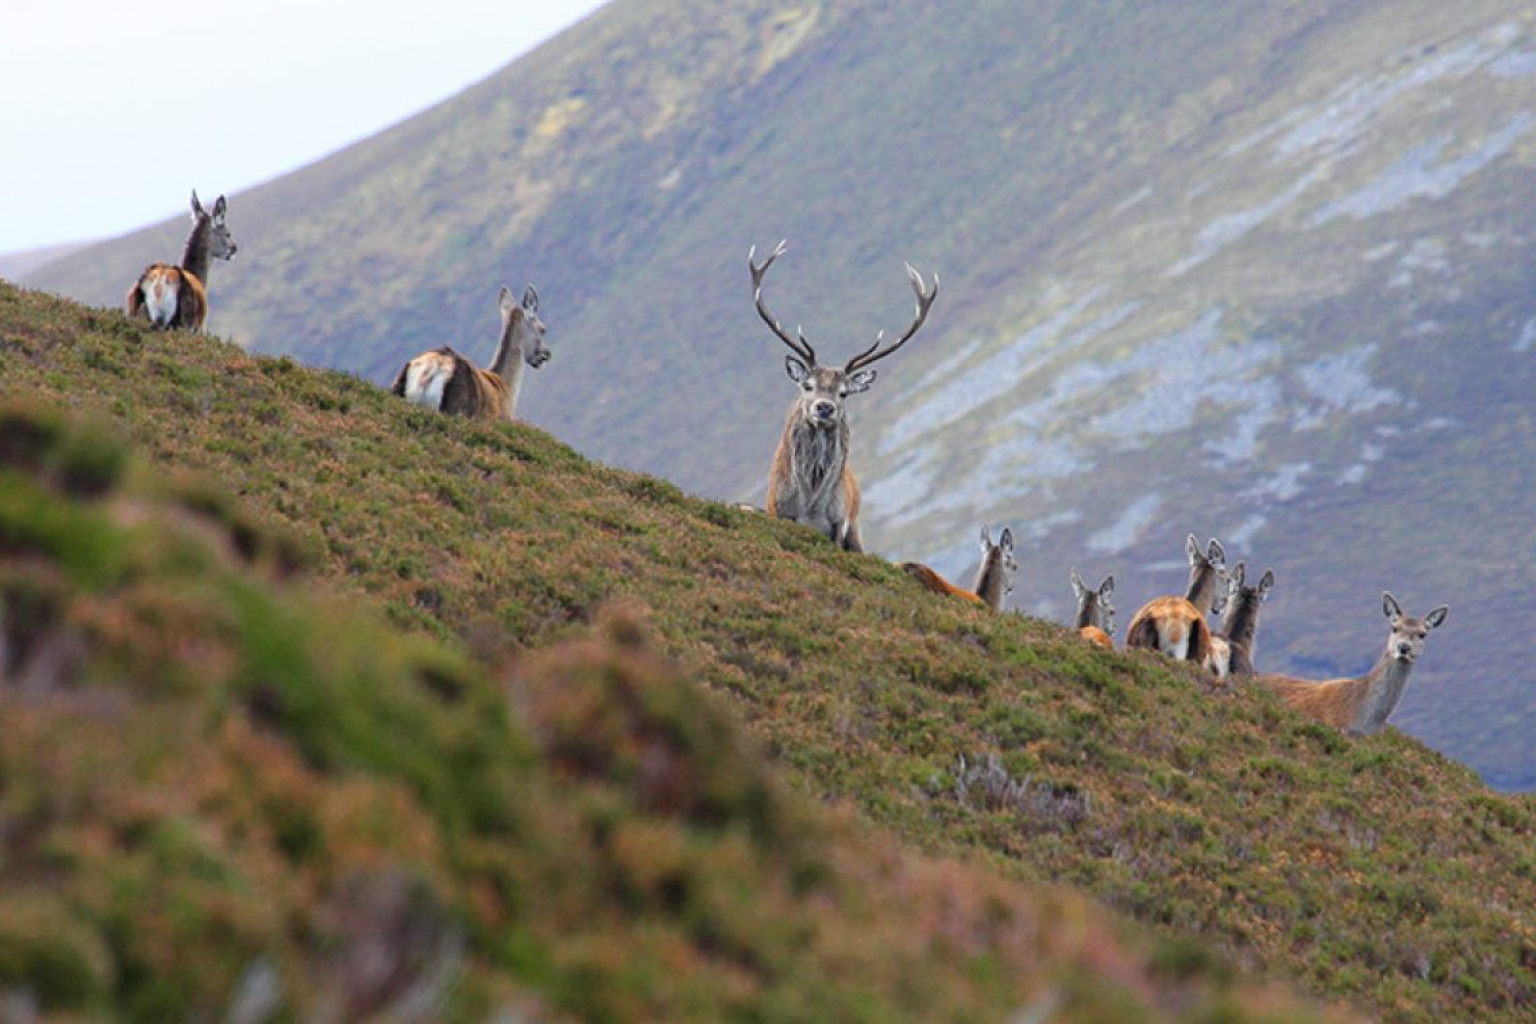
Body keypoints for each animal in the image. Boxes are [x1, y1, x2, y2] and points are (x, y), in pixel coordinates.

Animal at [125, 191, 237, 332]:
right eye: (228, 233)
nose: (234, 248)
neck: (198, 277)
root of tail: (159, 283)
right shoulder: (199, 327)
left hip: (134, 312)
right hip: (180, 320)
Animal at [390, 285, 549, 421]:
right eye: (543, 329)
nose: (546, 354)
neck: (507, 387)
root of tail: (429, 371)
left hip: (397, 388)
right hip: (456, 408)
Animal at [749, 240, 938, 553]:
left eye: (844, 393)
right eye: (807, 385)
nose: (824, 408)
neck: (811, 505)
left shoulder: (840, 525)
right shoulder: (780, 512)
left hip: (857, 529)